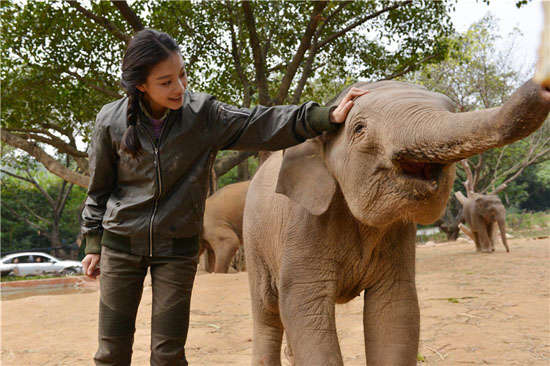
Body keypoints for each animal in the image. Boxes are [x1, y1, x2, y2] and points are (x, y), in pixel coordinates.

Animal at [244, 77, 548, 364]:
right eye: (359, 129)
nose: (543, 85)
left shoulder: (399, 233)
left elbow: (395, 308)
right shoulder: (303, 222)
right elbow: (303, 304)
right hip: (253, 242)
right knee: (267, 314)